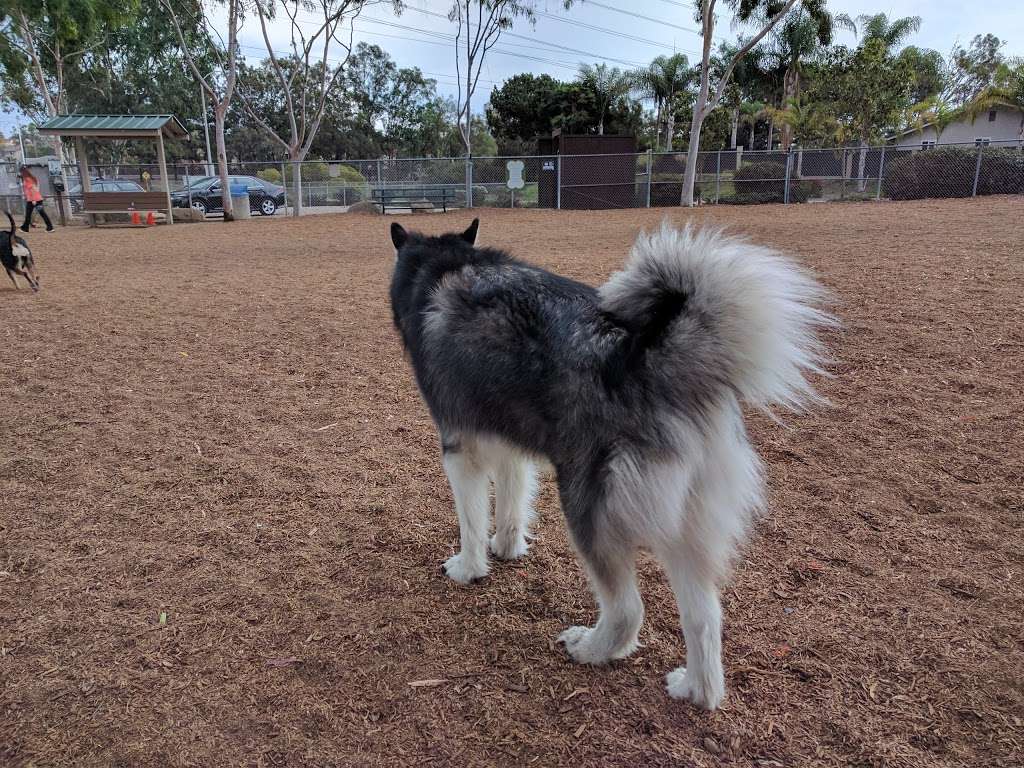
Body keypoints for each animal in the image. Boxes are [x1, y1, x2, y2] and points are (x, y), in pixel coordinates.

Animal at [387, 217, 827, 708]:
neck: (447, 267)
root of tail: (654, 362)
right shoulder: (511, 449)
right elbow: (511, 508)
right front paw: (507, 548)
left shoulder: (459, 449)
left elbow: (470, 522)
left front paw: (469, 568)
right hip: (686, 528)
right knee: (704, 616)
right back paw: (696, 689)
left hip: (588, 510)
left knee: (628, 610)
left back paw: (591, 649)